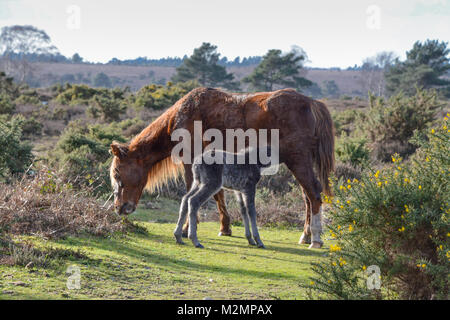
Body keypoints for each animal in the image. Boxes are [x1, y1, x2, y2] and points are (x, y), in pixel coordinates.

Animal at [110, 87, 334, 248]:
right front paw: (225, 227)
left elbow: (193, 197)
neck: (183, 115)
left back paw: (315, 238)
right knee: (307, 196)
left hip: (298, 161)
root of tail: (311, 103)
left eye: (118, 174)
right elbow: (218, 195)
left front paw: (187, 229)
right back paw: (306, 235)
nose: (120, 207)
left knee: (313, 193)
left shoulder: (192, 163)